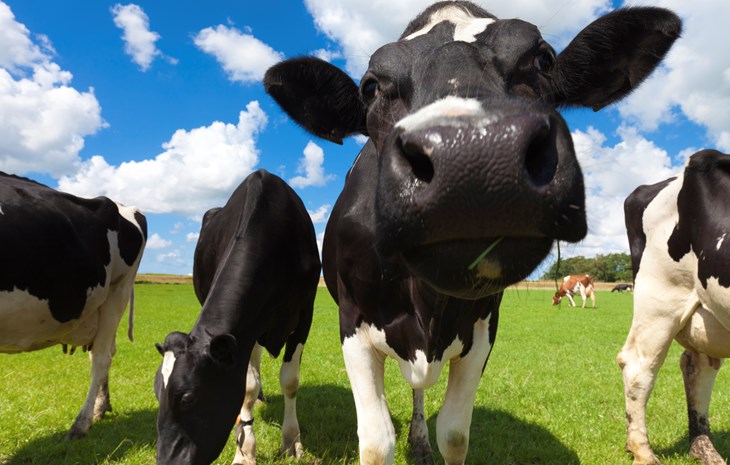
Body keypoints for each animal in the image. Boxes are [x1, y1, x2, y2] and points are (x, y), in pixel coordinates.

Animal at [153, 169, 318, 464]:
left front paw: (291, 442)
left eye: (188, 398)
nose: (166, 461)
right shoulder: (246, 330)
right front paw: (244, 449)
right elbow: (247, 386)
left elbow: (290, 380)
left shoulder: (304, 313)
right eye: (156, 392)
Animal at [264, 1, 680, 462]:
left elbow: (454, 434)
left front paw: (431, 439)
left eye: (544, 60)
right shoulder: (352, 322)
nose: (473, 155)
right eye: (370, 87)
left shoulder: (483, 329)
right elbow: (375, 441)